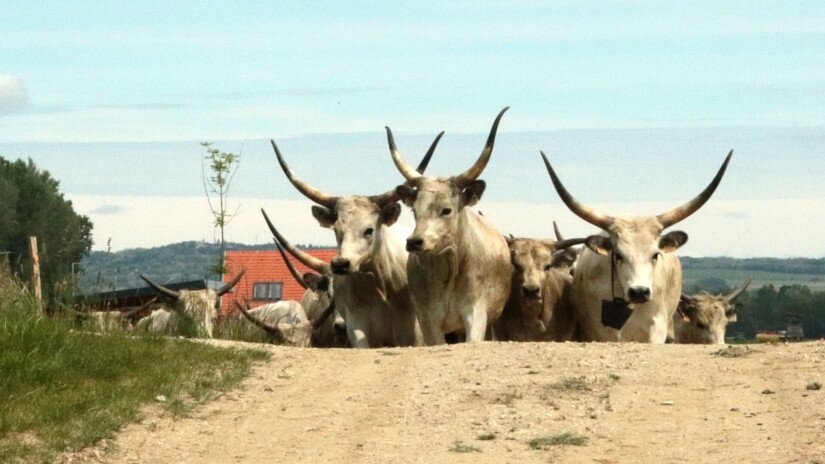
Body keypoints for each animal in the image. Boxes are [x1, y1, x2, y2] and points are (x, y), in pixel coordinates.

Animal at [268, 134, 440, 348]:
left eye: (369, 229)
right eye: (336, 230)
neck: (378, 287)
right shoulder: (357, 327)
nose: (340, 264)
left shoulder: (411, 332)